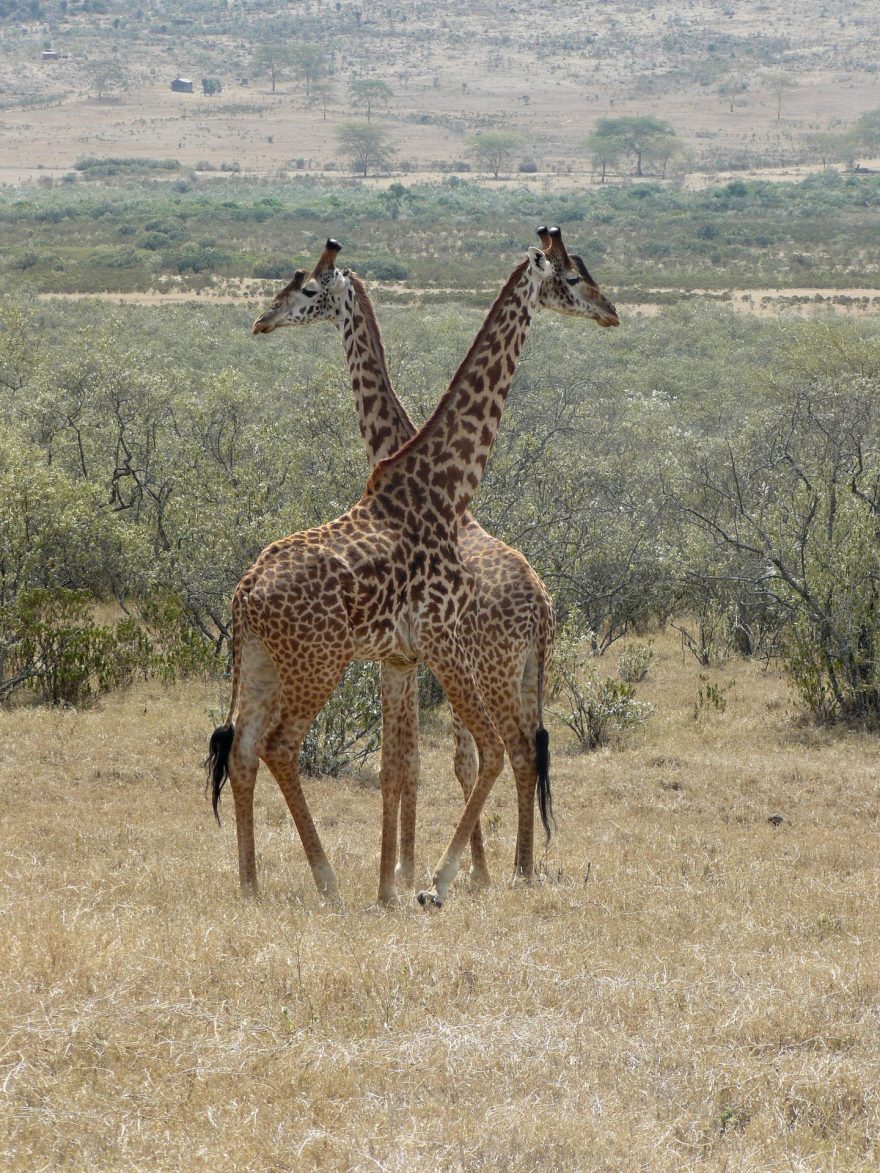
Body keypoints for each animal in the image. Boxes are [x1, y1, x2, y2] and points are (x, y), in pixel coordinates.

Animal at [206, 228, 619, 905]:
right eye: (572, 278)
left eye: (307, 289)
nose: (611, 312)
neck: (444, 486)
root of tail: (243, 596)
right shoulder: (432, 645)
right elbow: (436, 761)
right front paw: (419, 882)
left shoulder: (406, 656)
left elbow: (411, 765)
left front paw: (402, 883)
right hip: (321, 664)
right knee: (279, 747)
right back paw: (330, 881)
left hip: (276, 665)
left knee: (244, 749)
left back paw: (253, 885)